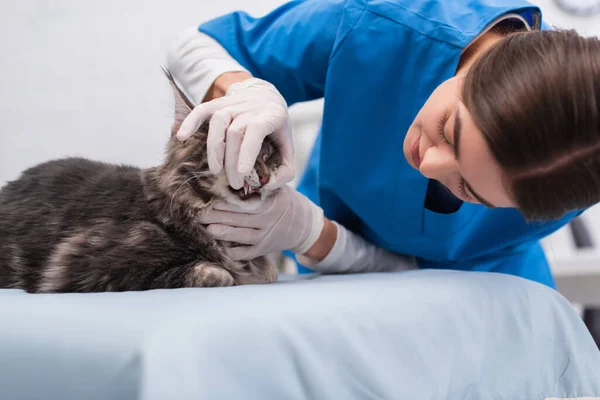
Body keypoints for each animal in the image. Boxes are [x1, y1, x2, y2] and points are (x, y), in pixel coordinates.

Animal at [0, 68, 282, 294]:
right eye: (237, 151)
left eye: (268, 154)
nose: (265, 176)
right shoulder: (77, 263)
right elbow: (217, 273)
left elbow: (268, 270)